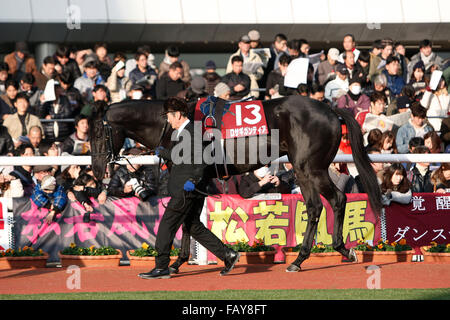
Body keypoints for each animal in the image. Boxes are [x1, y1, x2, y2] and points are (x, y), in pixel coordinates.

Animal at [89, 95, 382, 270]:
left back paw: (337, 250)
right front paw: (186, 261)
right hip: (303, 169)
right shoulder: (197, 181)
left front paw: (176, 262)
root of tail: (330, 109)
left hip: (311, 167)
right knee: (314, 207)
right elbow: (189, 219)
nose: (97, 170)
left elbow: (185, 218)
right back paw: (301, 258)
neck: (174, 126)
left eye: (100, 135)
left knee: (337, 199)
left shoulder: (190, 177)